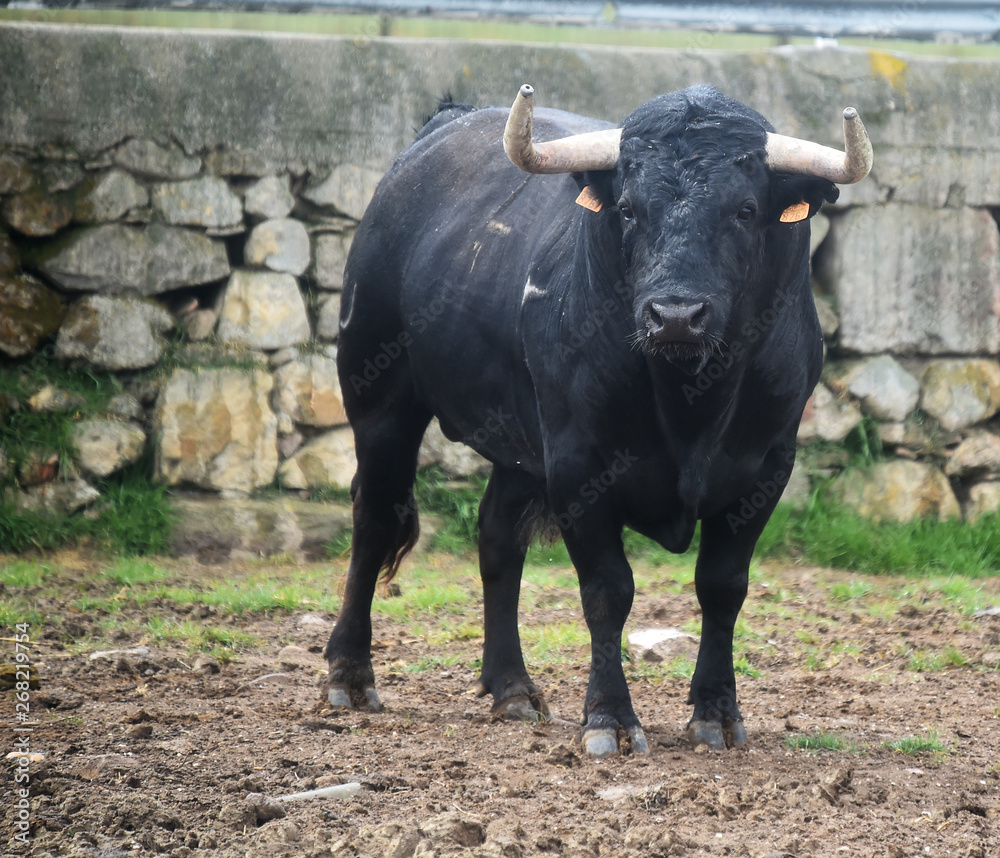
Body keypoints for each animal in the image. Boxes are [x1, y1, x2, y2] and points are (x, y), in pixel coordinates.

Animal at [326, 85, 868, 756]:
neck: (689, 402)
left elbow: (722, 586)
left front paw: (716, 713)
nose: (676, 315)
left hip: (520, 444)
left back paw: (512, 688)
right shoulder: (578, 464)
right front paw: (610, 718)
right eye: (630, 210)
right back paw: (349, 676)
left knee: (497, 535)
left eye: (745, 210)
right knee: (373, 520)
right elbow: (609, 590)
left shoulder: (766, 466)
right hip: (379, 397)